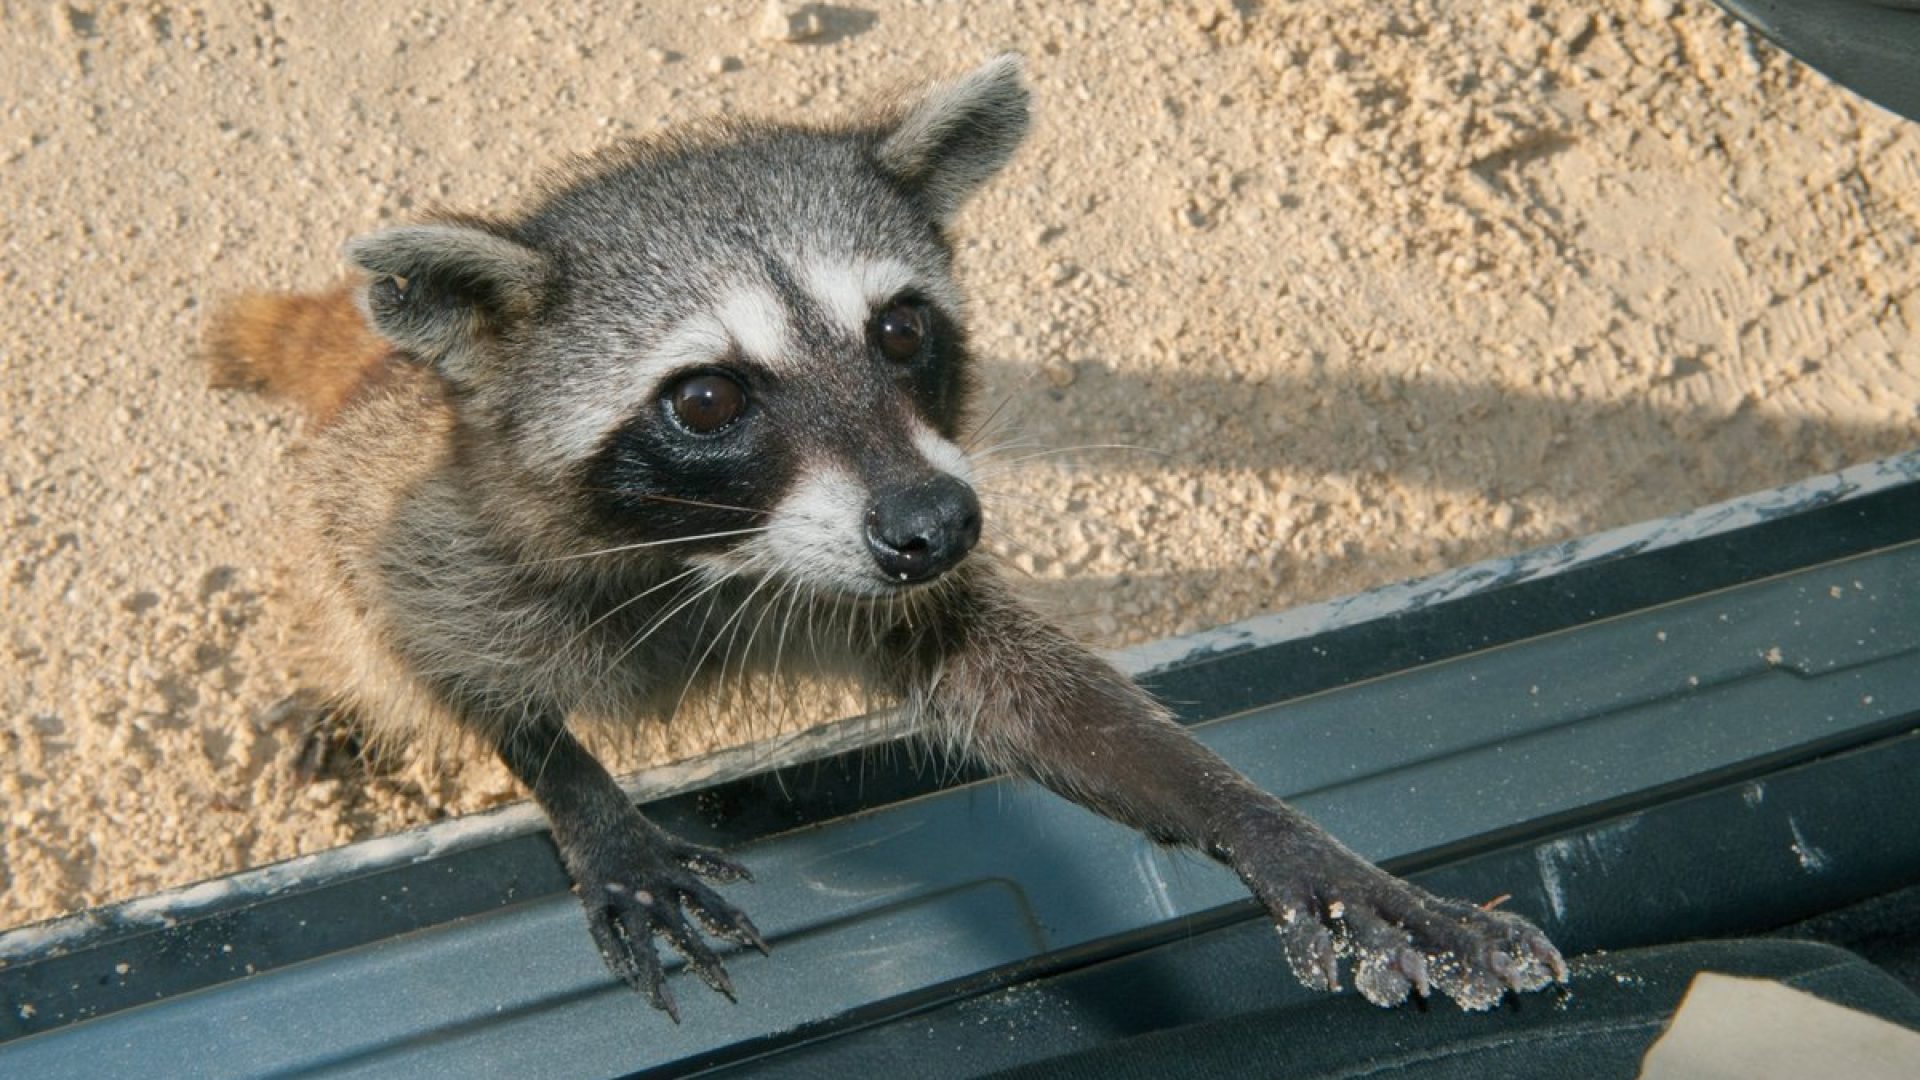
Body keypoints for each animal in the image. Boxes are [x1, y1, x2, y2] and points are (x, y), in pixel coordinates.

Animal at [207, 56, 1564, 1020]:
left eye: (902, 331)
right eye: (708, 400)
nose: (940, 524)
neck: (721, 556)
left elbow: (1043, 702)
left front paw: (1286, 840)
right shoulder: (432, 532)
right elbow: (437, 651)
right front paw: (576, 788)